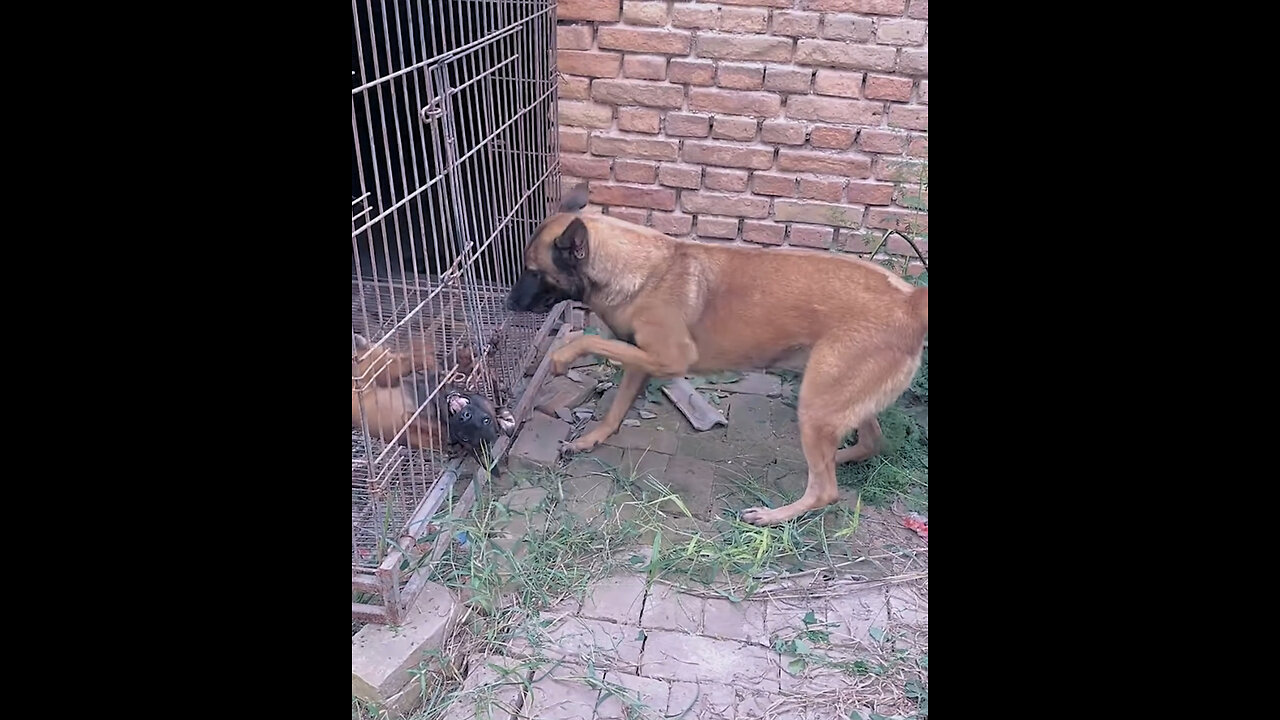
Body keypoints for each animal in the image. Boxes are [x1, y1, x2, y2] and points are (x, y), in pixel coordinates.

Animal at [504, 181, 926, 525]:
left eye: (533, 272)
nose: (507, 304)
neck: (640, 271)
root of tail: (909, 301)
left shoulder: (669, 359)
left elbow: (589, 342)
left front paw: (561, 356)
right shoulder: (641, 360)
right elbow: (614, 412)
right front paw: (590, 440)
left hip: (817, 403)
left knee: (826, 489)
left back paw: (775, 515)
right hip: (834, 395)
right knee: (868, 444)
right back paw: (834, 459)